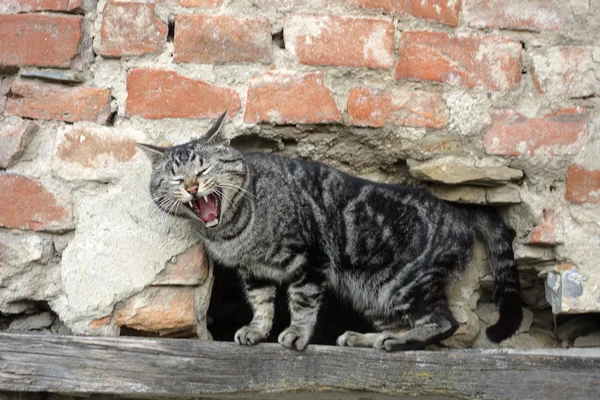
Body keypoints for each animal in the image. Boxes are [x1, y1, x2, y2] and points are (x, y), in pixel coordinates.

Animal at [138, 111, 524, 352]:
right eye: (175, 179)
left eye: (203, 170)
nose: (191, 187)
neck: (234, 231)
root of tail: (458, 210)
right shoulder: (253, 272)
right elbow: (261, 303)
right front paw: (258, 330)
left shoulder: (310, 258)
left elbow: (302, 302)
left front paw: (296, 334)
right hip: (376, 295)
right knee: (403, 323)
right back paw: (363, 338)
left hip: (404, 284)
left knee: (444, 322)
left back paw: (396, 342)